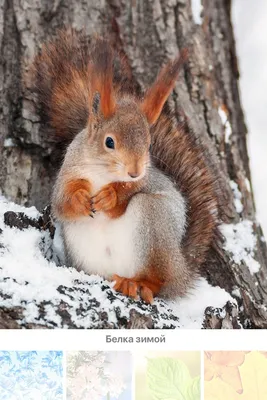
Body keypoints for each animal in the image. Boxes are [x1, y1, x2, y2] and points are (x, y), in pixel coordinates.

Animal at [31, 28, 220, 304]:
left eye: (149, 144)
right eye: (109, 141)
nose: (134, 171)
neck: (103, 172)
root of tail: (182, 270)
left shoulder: (146, 181)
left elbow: (129, 192)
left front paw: (110, 196)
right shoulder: (68, 171)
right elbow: (61, 202)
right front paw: (79, 199)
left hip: (154, 224)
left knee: (159, 281)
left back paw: (139, 284)